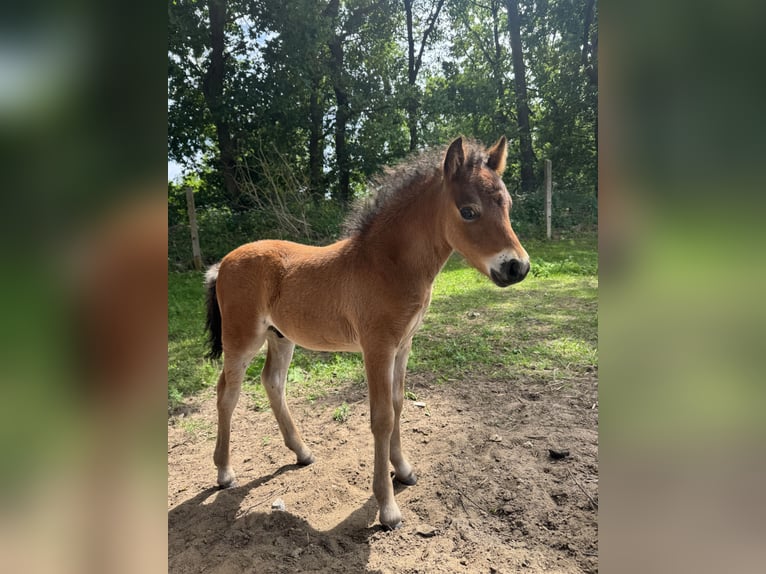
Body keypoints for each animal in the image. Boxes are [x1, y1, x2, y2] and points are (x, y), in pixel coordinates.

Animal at [203, 136, 530, 530]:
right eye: (468, 211)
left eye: (507, 205)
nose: (517, 267)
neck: (387, 264)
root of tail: (222, 263)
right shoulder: (377, 347)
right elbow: (382, 417)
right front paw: (387, 508)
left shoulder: (403, 346)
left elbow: (399, 404)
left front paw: (403, 470)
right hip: (242, 338)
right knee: (227, 392)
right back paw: (224, 472)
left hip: (280, 337)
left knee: (273, 382)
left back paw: (302, 452)